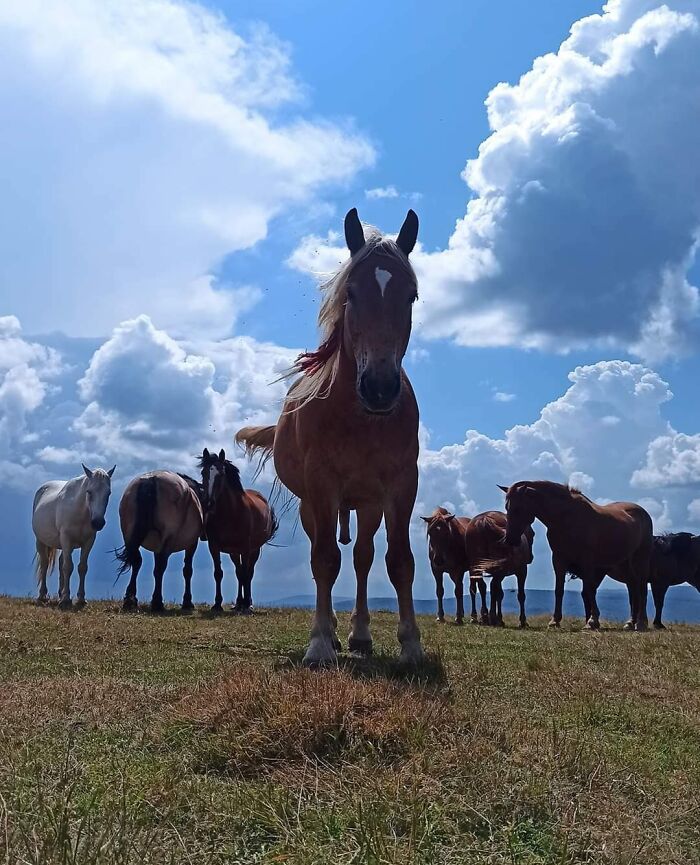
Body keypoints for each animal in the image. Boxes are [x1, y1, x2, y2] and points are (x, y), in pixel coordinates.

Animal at [32, 464, 115, 609]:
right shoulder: (66, 539)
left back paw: (60, 593)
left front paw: (80, 599)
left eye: (108, 493)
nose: (98, 522)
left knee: (61, 563)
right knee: (45, 564)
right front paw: (66, 600)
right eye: (89, 492)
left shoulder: (88, 541)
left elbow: (82, 567)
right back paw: (42, 596)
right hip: (41, 541)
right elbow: (68, 567)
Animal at [116, 471, 204, 612]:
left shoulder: (157, 547)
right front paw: (187, 602)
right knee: (161, 566)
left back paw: (130, 599)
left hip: (129, 534)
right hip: (168, 536)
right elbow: (187, 570)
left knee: (137, 562)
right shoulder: (192, 544)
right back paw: (157, 602)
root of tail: (150, 479)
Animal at [198, 448, 278, 613]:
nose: (208, 503)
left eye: (221, 474)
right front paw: (217, 604)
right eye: (204, 473)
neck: (231, 513)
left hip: (254, 549)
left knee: (248, 573)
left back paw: (247, 603)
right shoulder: (214, 547)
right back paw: (239, 603)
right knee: (239, 572)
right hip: (234, 552)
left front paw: (247, 605)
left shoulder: (246, 548)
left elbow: (247, 574)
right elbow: (219, 573)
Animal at [236, 208, 423, 665]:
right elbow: (323, 560)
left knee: (362, 558)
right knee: (325, 554)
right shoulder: (321, 487)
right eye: (351, 293)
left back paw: (360, 634)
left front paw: (410, 644)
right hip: (312, 505)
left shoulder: (399, 486)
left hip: (367, 505)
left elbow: (399, 562)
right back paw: (335, 631)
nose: (379, 387)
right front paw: (320, 641)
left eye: (410, 295)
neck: (360, 418)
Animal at [491, 481, 652, 631]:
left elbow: (590, 589)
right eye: (507, 508)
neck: (567, 518)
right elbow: (559, 590)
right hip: (626, 563)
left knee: (642, 588)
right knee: (633, 589)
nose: (509, 539)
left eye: (517, 508)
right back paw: (630, 623)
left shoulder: (587, 561)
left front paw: (592, 620)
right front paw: (555, 621)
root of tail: (642, 512)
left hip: (640, 559)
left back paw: (641, 623)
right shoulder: (558, 559)